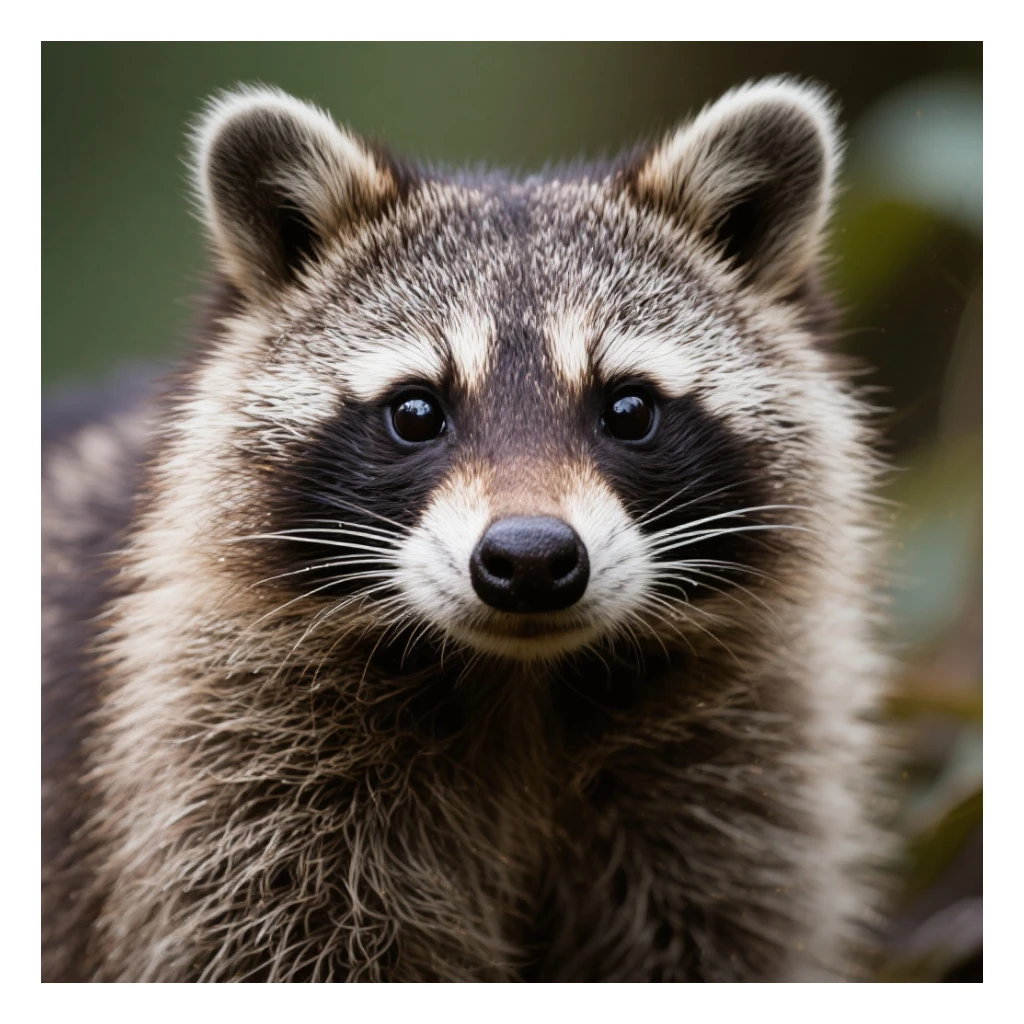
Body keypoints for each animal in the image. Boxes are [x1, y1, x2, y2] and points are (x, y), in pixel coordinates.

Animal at [42, 78, 893, 982]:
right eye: (416, 412)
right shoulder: (226, 782)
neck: (521, 679)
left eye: (629, 410)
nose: (531, 558)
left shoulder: (735, 784)